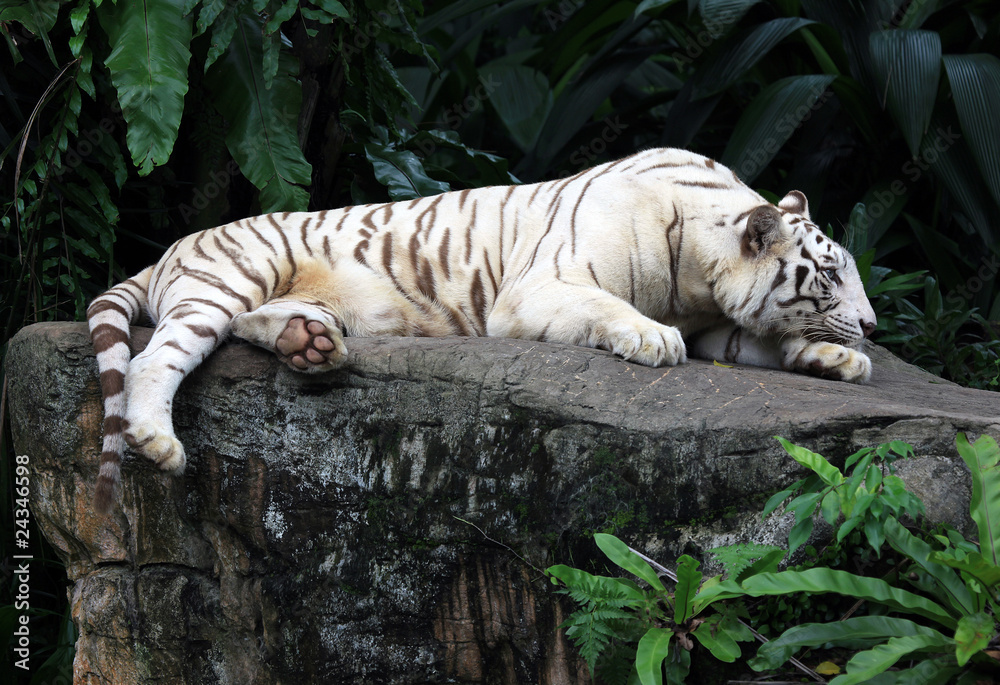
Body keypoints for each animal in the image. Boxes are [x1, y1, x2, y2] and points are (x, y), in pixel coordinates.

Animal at [87, 147, 876, 513]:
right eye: (830, 274)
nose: (871, 321)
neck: (701, 275)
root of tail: (169, 249)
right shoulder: (537, 289)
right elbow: (612, 309)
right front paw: (653, 339)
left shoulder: (722, 319)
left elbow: (764, 343)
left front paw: (836, 359)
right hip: (226, 281)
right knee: (156, 359)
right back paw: (158, 441)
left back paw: (309, 344)